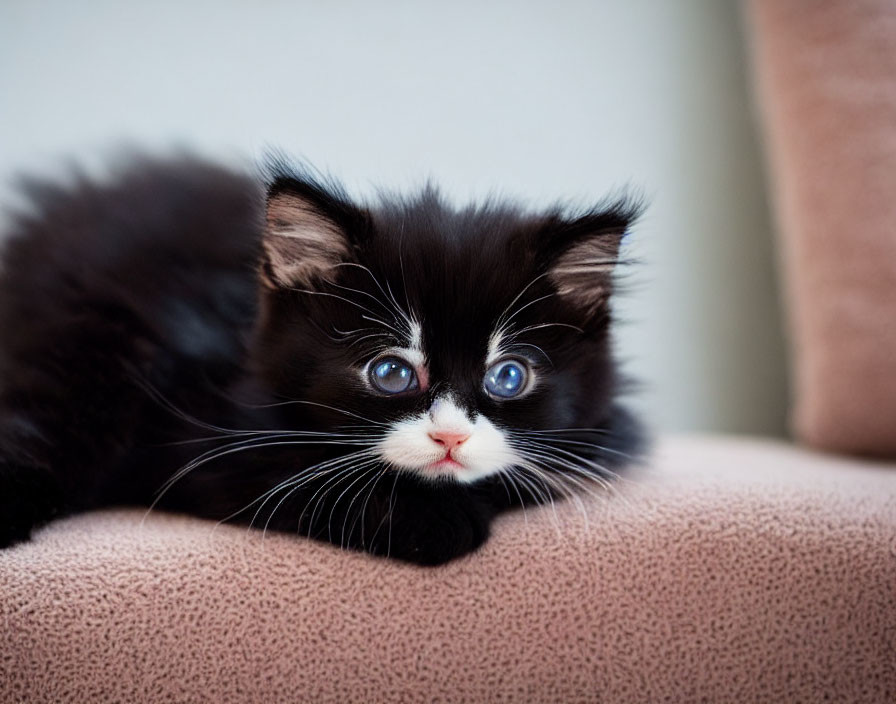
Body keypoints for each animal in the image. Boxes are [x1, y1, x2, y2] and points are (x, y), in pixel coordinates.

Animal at [0, 155, 644, 568]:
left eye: (508, 376)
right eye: (392, 373)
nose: (450, 438)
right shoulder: (195, 421)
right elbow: (285, 473)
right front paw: (436, 521)